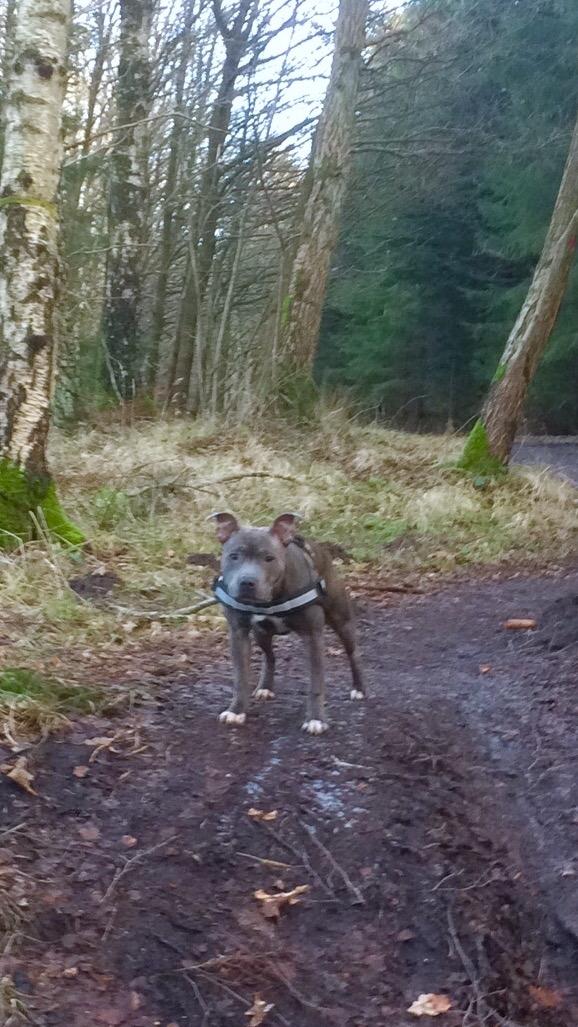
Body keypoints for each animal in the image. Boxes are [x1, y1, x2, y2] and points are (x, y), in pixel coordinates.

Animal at [209, 511, 365, 735]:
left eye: (269, 558)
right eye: (234, 556)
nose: (247, 582)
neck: (272, 597)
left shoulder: (313, 636)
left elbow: (316, 683)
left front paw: (316, 719)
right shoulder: (238, 633)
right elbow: (240, 678)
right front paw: (236, 711)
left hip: (342, 622)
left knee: (353, 654)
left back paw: (359, 689)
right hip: (261, 634)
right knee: (270, 656)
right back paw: (265, 687)